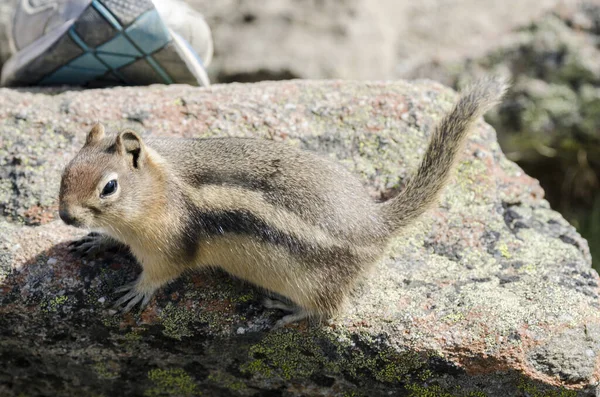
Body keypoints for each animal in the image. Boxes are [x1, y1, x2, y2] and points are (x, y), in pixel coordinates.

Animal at [57, 78, 506, 328]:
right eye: (66, 170)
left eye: (109, 187)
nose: (65, 216)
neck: (157, 189)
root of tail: (377, 223)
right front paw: (96, 240)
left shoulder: (169, 246)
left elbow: (162, 273)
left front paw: (136, 291)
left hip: (315, 280)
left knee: (332, 311)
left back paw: (288, 310)